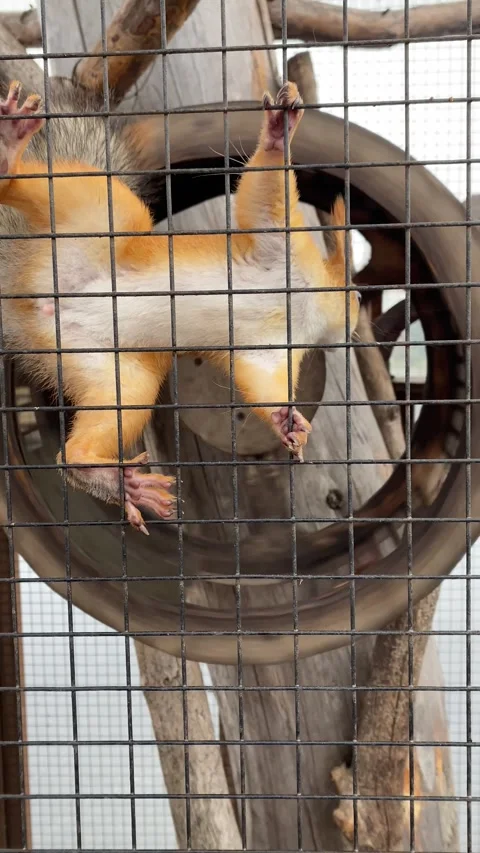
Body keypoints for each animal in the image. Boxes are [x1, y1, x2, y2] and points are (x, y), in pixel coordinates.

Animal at [0, 79, 360, 534]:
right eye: (358, 295)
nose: (355, 323)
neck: (307, 302)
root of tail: (26, 297)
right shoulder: (279, 243)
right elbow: (265, 195)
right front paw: (279, 134)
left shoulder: (271, 350)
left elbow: (263, 383)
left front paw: (286, 421)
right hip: (96, 211)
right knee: (55, 188)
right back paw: (8, 152)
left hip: (109, 370)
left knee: (86, 436)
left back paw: (106, 477)